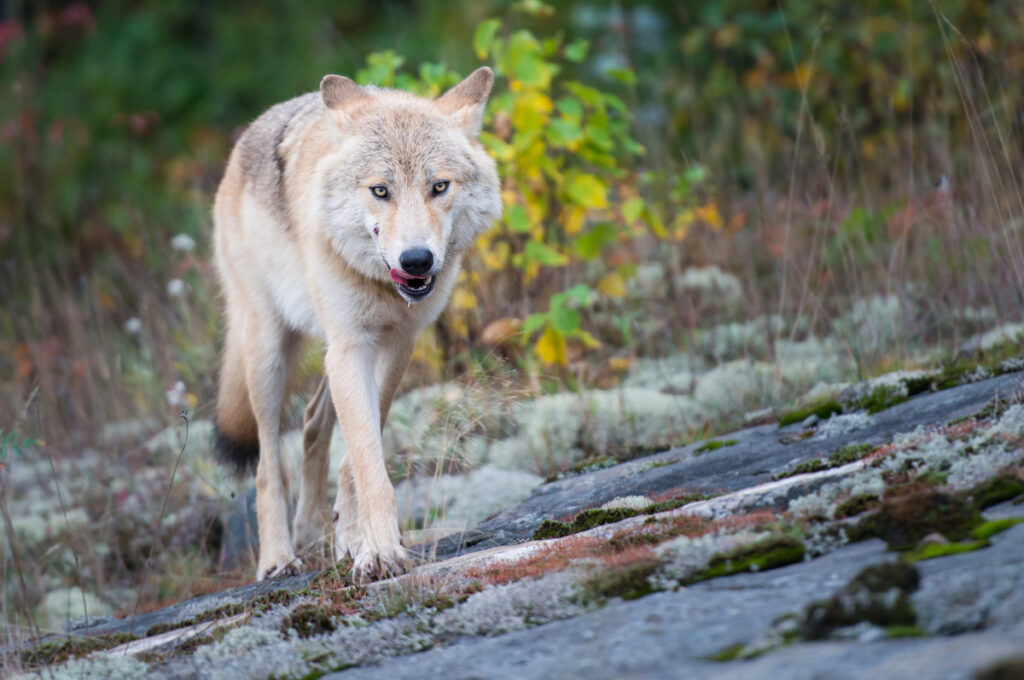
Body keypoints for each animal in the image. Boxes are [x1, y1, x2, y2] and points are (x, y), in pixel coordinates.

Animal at [211, 67, 501, 581]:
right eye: (380, 190)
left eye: (439, 187)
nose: (416, 260)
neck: (382, 286)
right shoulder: (351, 346)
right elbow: (367, 462)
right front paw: (382, 552)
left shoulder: (397, 342)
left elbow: (355, 458)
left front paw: (358, 542)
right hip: (269, 354)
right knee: (267, 466)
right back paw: (278, 558)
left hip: (327, 356)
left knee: (311, 424)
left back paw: (317, 533)